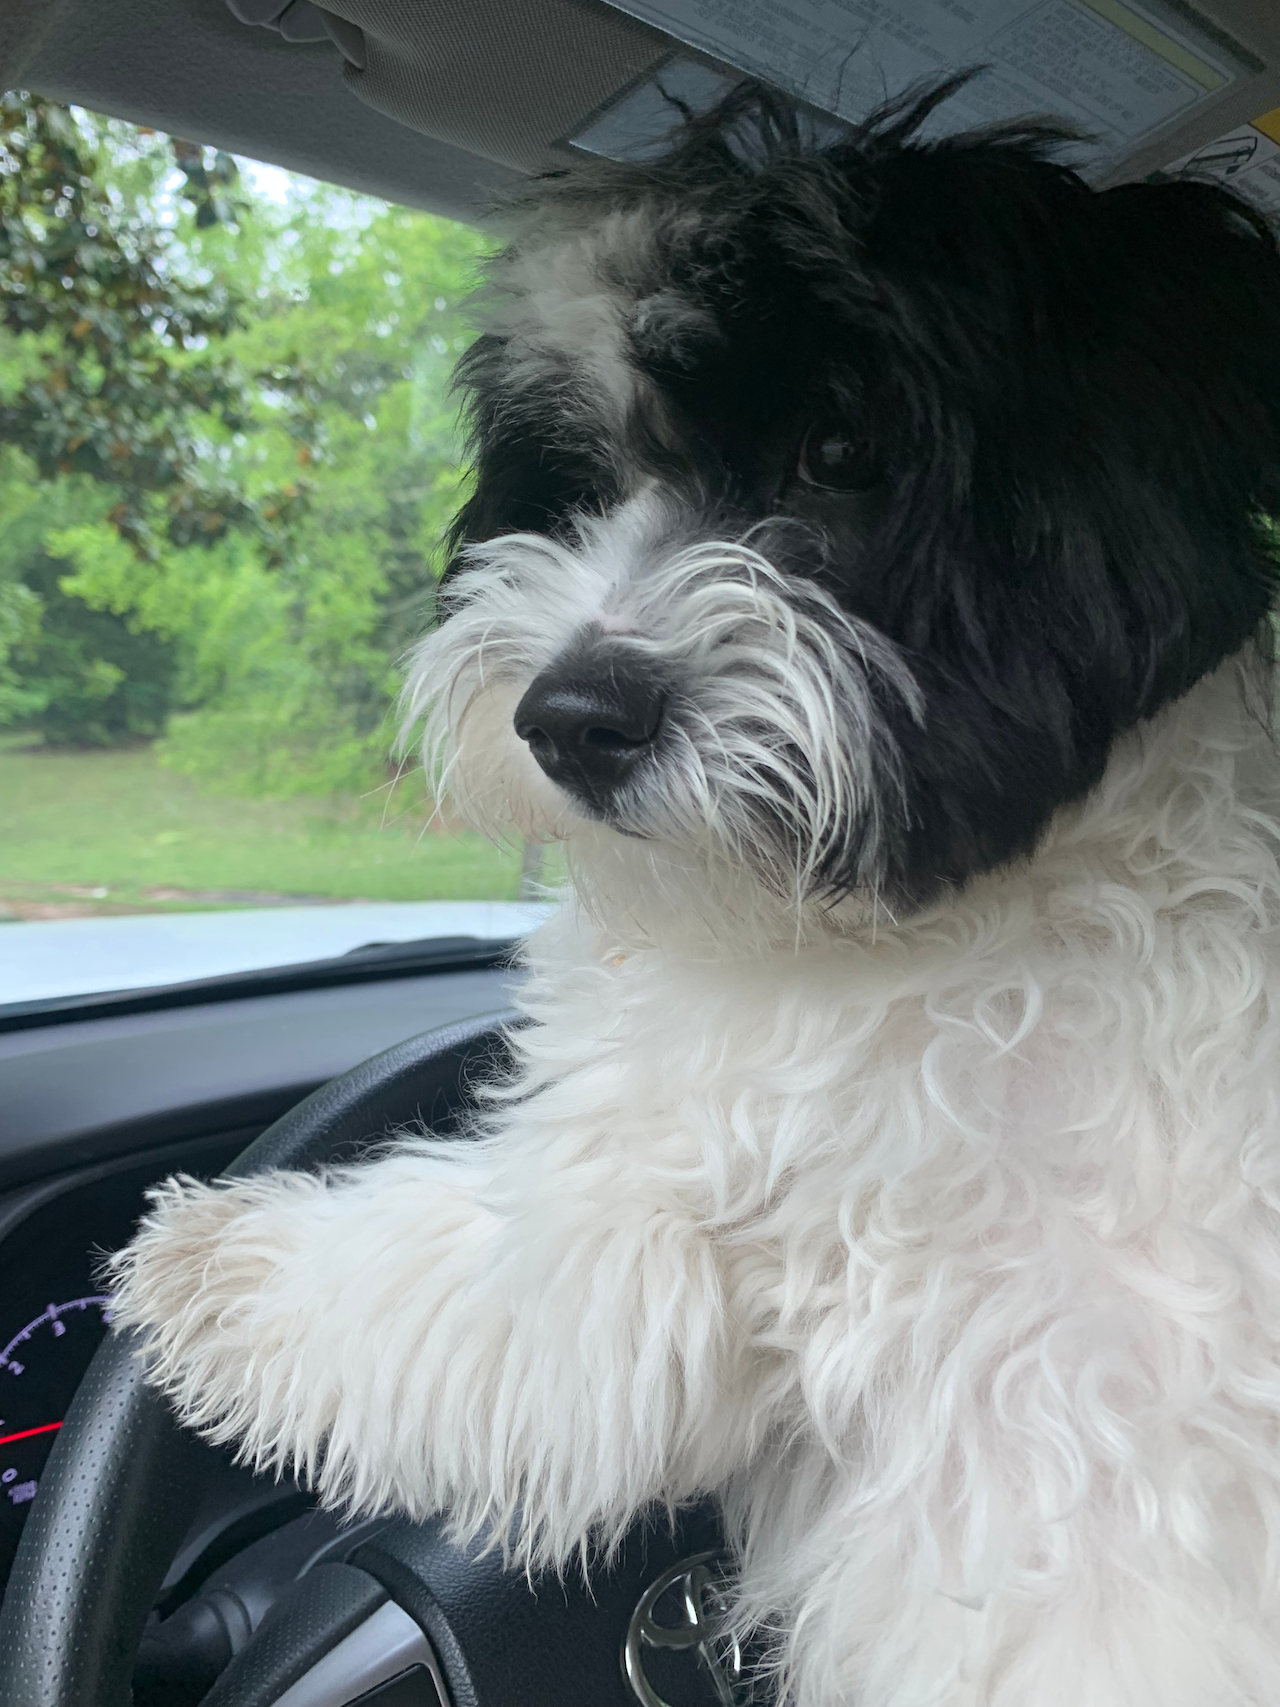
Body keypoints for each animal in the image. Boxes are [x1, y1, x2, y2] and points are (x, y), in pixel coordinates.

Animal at [107, 83, 1280, 1707]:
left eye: (839, 447)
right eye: (580, 485)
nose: (570, 718)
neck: (1022, 876)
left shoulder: (655, 1205)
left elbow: (463, 1266)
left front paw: (218, 1260)